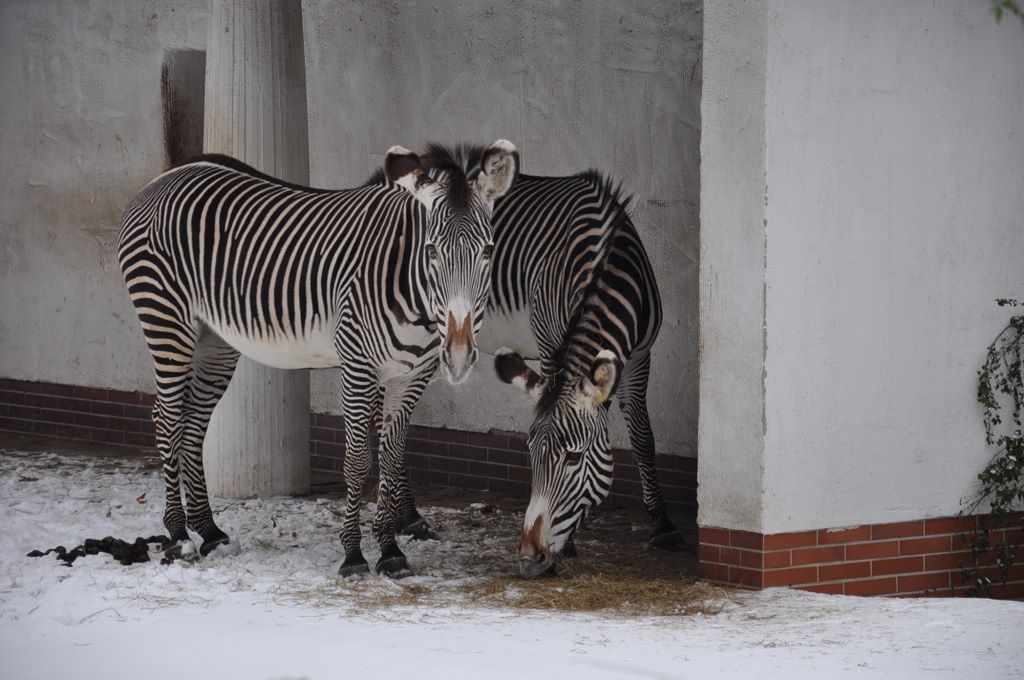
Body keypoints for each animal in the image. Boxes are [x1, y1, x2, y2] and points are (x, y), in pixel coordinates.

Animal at [117, 140, 518, 576]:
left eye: (488, 250)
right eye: (431, 250)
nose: (459, 355)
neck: (408, 282)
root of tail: (166, 177)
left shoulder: (411, 376)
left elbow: (392, 459)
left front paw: (391, 551)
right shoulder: (358, 366)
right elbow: (357, 461)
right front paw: (354, 555)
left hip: (214, 340)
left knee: (192, 424)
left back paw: (209, 532)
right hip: (165, 318)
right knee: (167, 418)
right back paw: (177, 536)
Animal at [392, 167, 683, 578]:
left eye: (574, 458)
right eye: (530, 454)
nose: (530, 559)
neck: (607, 264)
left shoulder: (641, 356)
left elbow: (643, 436)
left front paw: (663, 524)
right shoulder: (550, 347)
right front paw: (572, 543)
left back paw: (408, 518)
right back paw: (408, 515)